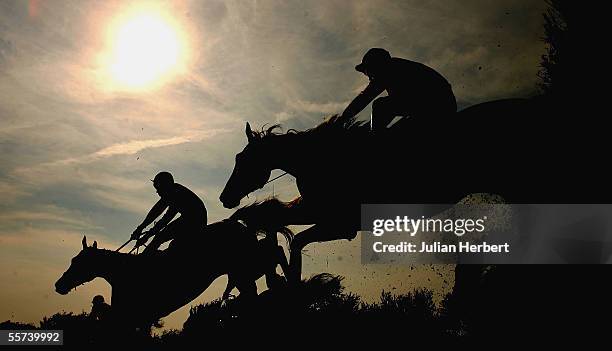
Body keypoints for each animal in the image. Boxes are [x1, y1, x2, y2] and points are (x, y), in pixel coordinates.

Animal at [53, 220, 290, 332]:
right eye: (72, 260)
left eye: (79, 262)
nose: (59, 285)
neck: (124, 273)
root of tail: (240, 225)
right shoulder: (138, 319)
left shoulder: (131, 318)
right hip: (242, 272)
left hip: (245, 266)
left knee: (275, 253)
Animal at [219, 97, 584, 284]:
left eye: (241, 159)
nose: (224, 198)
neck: (326, 159)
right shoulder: (323, 211)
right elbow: (281, 219)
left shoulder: (340, 222)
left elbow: (297, 239)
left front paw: (294, 280)